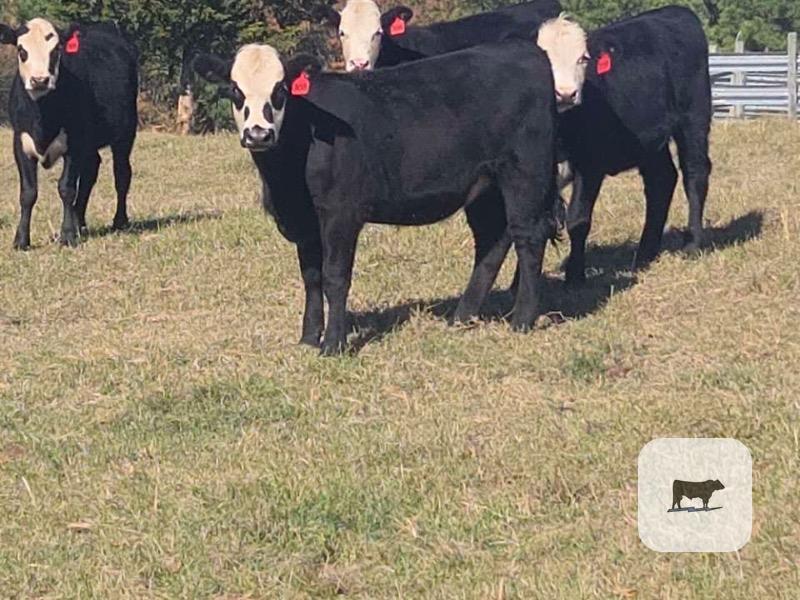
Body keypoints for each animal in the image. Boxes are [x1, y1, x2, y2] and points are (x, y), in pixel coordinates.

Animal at [0, 19, 138, 249]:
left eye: (56, 50)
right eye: (21, 50)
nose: (40, 80)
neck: (42, 117)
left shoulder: (74, 144)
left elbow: (66, 188)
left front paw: (67, 235)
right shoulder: (20, 143)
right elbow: (28, 193)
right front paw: (21, 240)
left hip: (125, 132)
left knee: (121, 173)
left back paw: (119, 221)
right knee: (91, 170)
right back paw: (79, 222)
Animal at [193, 41, 559, 355]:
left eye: (280, 90)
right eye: (235, 90)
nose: (258, 134)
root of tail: (523, 49)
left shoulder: (341, 214)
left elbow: (335, 277)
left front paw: (334, 344)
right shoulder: (304, 220)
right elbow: (311, 277)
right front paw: (309, 338)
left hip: (525, 174)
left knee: (528, 236)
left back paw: (522, 319)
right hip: (486, 185)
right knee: (493, 240)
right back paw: (461, 316)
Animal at [536, 7, 712, 284]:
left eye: (583, 58)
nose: (566, 93)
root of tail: (677, 10)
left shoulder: (590, 165)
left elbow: (578, 219)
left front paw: (575, 276)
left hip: (694, 119)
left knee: (695, 175)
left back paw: (693, 244)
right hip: (649, 140)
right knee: (662, 180)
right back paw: (645, 254)